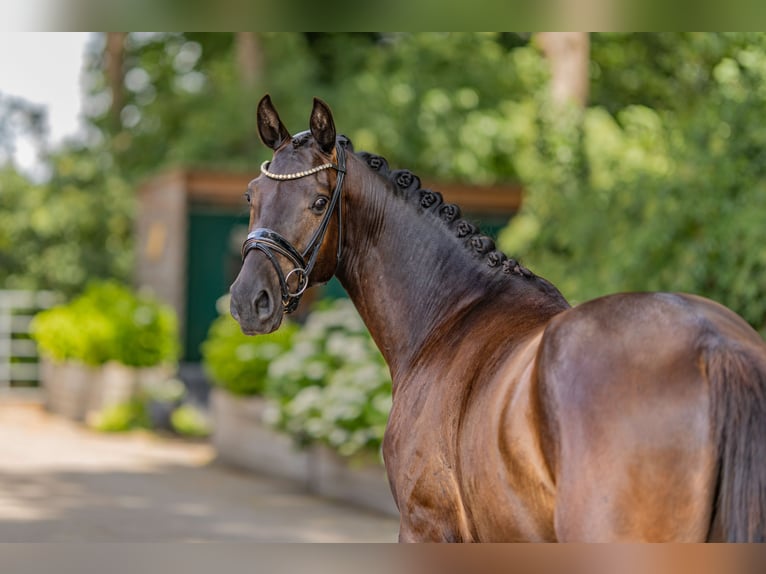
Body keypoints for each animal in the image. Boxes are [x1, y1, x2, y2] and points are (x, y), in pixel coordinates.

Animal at [229, 95, 766, 542]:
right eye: (251, 196)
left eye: (320, 201)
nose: (249, 301)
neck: (449, 313)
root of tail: (712, 345)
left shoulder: (427, 528)